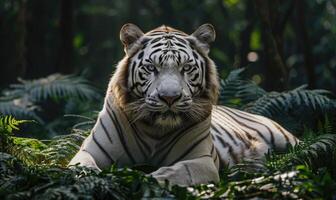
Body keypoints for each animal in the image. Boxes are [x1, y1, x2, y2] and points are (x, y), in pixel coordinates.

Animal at [69, 23, 300, 186]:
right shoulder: (90, 152)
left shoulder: (203, 161)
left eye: (186, 68)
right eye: (151, 68)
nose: (169, 98)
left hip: (286, 140)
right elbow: (82, 167)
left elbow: (180, 172)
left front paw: (148, 178)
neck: (153, 130)